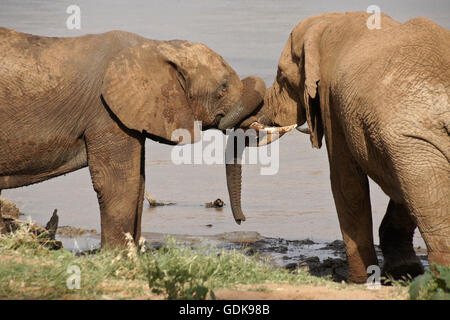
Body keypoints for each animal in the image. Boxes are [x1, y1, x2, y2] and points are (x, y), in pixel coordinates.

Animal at [0, 27, 270, 248]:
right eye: (222, 89)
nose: (242, 220)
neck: (155, 46)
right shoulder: (105, 112)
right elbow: (119, 182)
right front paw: (119, 257)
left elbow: (138, 181)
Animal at [230, 11, 448, 282]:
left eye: (281, 77)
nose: (242, 220)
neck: (332, 22)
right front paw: (402, 271)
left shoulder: (331, 100)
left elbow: (346, 182)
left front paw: (360, 282)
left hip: (414, 144)